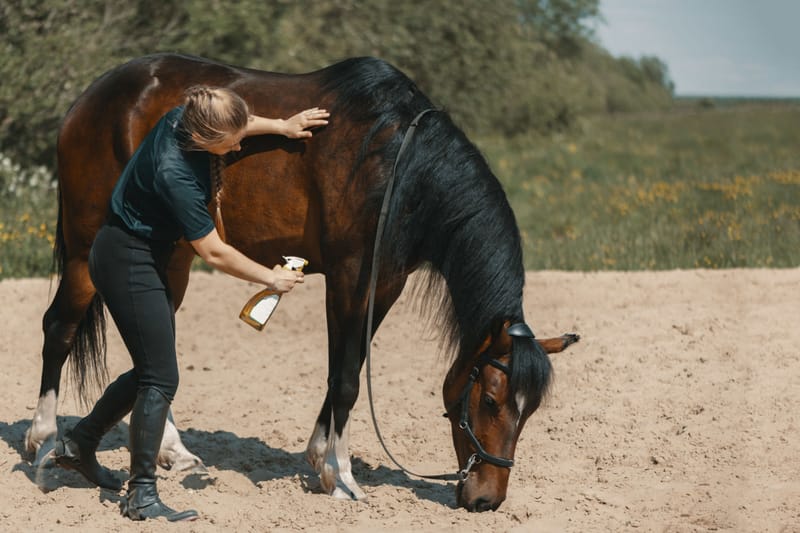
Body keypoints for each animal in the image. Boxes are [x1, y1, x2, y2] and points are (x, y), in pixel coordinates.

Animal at [25, 53, 579, 511]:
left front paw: (320, 461)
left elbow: (347, 368)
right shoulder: (350, 275)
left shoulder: (385, 283)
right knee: (59, 328)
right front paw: (343, 477)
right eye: (489, 400)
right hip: (85, 249)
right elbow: (347, 378)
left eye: (530, 411)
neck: (397, 163)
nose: (487, 499)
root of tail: (89, 98)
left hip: (172, 256)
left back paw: (173, 452)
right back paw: (43, 440)